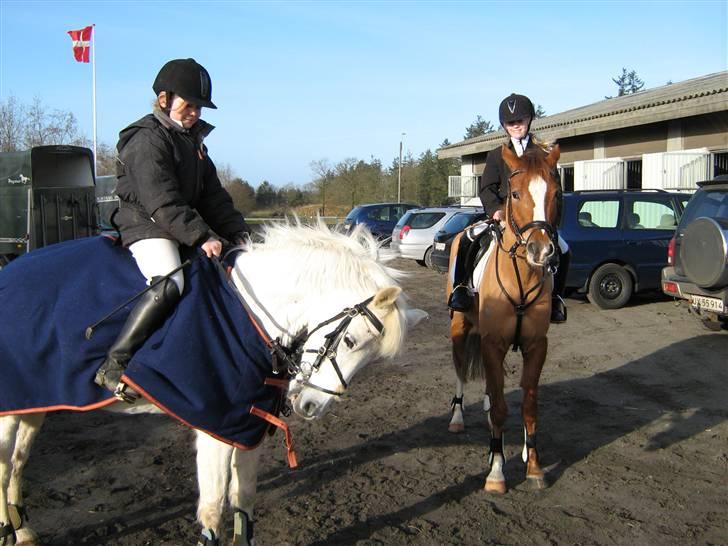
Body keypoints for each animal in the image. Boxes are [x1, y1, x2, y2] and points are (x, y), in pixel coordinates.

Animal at [0, 220, 427, 546]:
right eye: (350, 341)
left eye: (370, 360)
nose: (311, 407)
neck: (250, 313)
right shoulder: (215, 428)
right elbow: (212, 510)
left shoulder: (247, 425)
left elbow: (244, 499)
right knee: (5, 465)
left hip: (34, 401)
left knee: (17, 464)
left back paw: (24, 532)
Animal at [446, 143, 561, 494]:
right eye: (515, 194)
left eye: (556, 193)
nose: (541, 251)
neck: (522, 273)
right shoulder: (493, 342)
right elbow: (499, 408)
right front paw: (496, 472)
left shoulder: (536, 345)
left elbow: (529, 405)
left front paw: (533, 465)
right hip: (459, 328)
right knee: (461, 372)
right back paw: (457, 419)